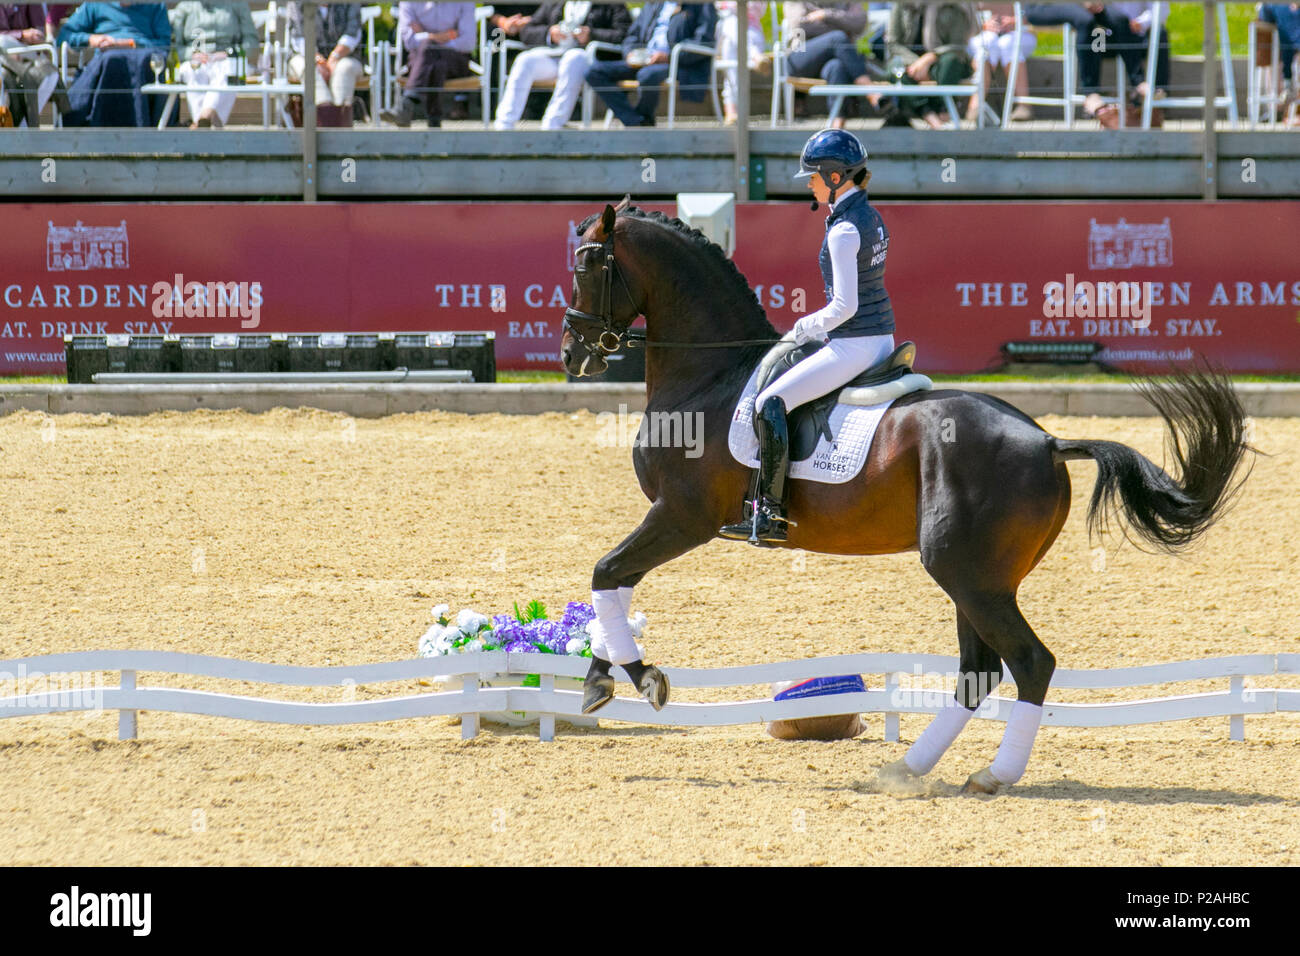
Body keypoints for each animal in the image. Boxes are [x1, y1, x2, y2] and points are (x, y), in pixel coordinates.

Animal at [556, 197, 1248, 796]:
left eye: (587, 266)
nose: (571, 355)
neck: (712, 375)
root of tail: (1047, 442)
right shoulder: (674, 519)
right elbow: (613, 583)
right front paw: (602, 677)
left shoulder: (682, 516)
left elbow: (606, 571)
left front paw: (635, 678)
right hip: (980, 576)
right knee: (980, 669)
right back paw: (907, 769)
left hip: (964, 571)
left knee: (1029, 662)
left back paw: (991, 775)